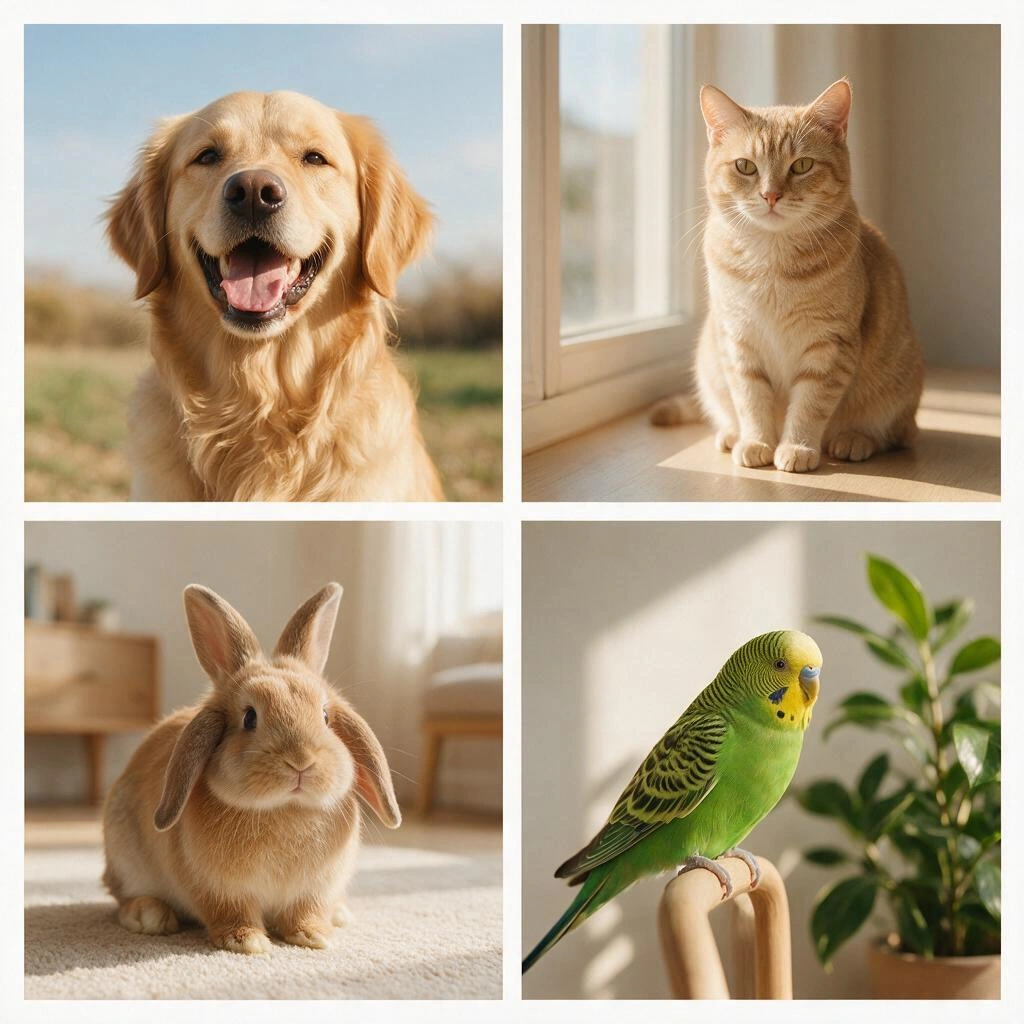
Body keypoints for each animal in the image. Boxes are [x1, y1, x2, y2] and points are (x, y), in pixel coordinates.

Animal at [102, 581, 400, 954]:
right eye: (249, 717)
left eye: (326, 717)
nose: (301, 760)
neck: (286, 809)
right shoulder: (219, 889)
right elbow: (232, 912)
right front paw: (247, 942)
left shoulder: (313, 890)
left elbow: (305, 911)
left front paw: (312, 935)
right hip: (125, 859)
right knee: (122, 896)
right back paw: (149, 916)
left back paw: (339, 914)